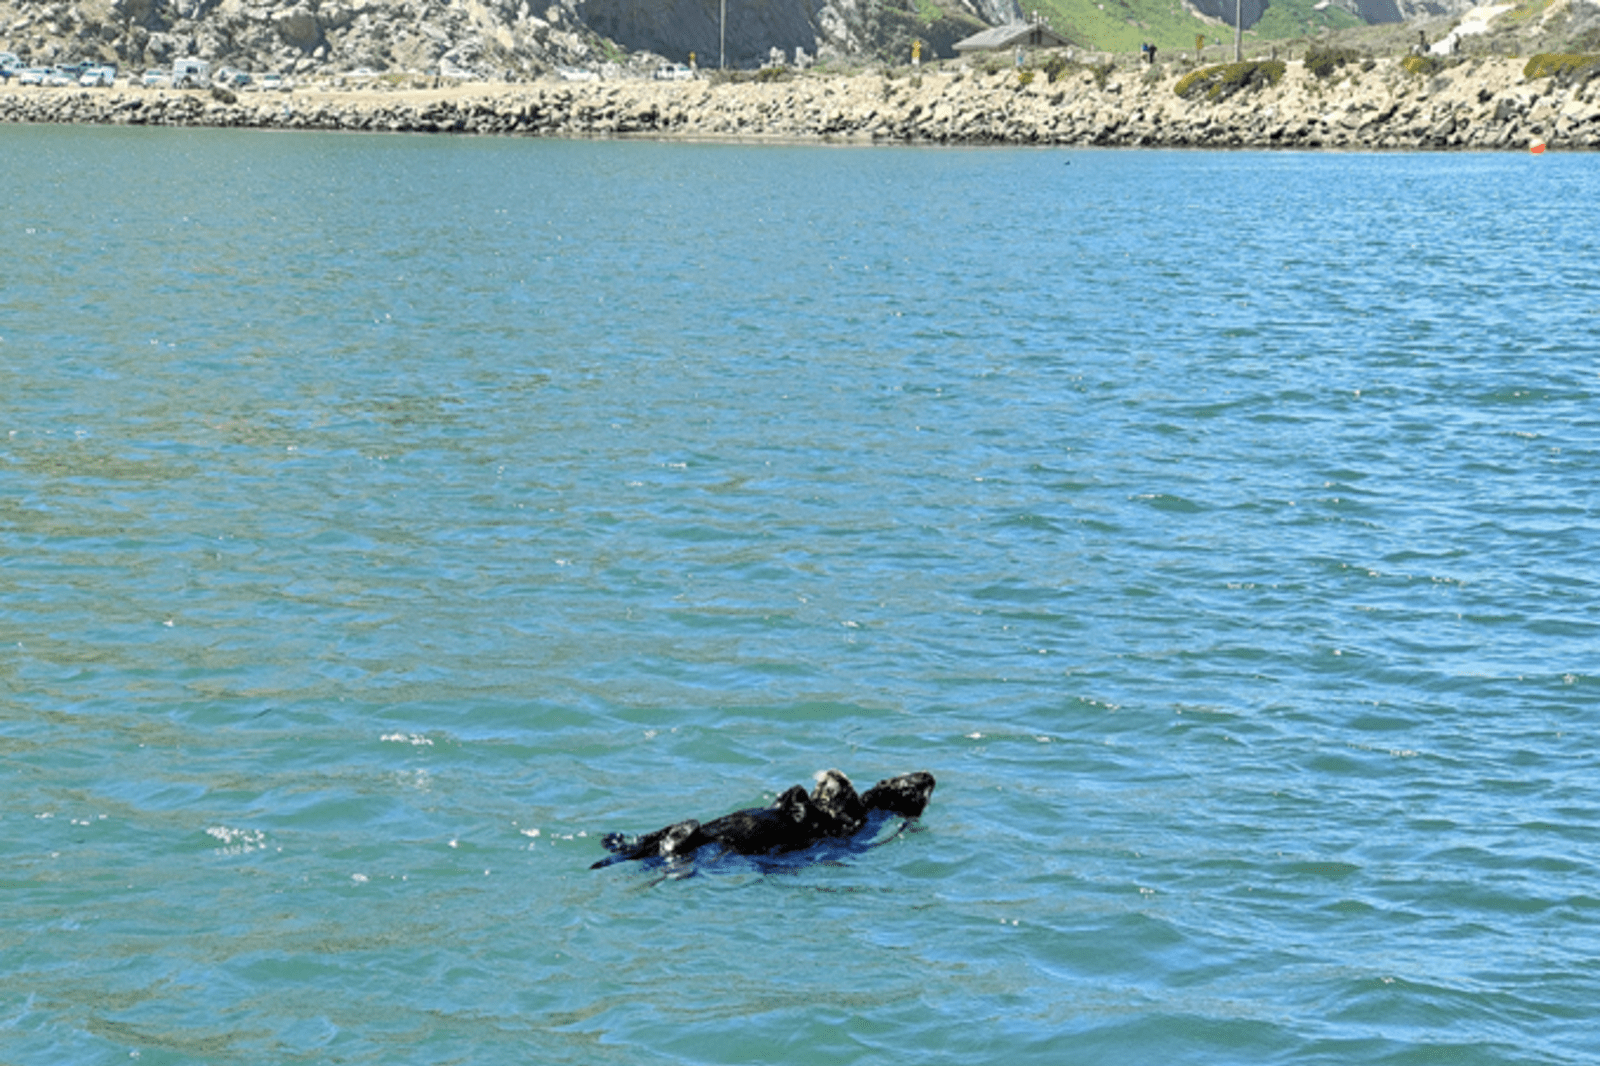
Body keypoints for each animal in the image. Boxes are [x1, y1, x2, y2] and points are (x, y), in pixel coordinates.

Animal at [590, 769, 935, 870]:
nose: (829, 776)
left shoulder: (846, 826)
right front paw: (796, 793)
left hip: (683, 844)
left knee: (674, 843)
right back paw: (616, 840)